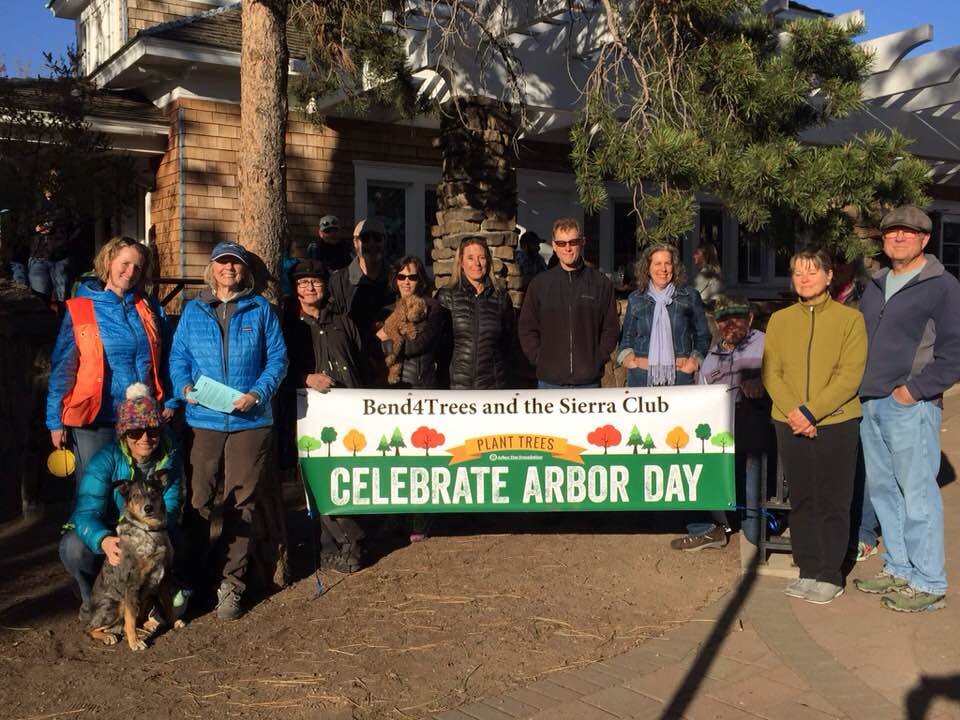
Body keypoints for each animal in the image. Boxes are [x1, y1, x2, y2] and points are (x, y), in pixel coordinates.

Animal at [87, 478, 185, 652]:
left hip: (146, 596)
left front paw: (174, 621)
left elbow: (168, 605)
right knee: (91, 629)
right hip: (117, 605)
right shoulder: (131, 585)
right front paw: (134, 643)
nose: (148, 508)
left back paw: (147, 626)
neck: (151, 532)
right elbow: (130, 619)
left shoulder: (164, 578)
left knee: (135, 620)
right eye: (136, 495)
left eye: (154, 491)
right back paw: (108, 636)